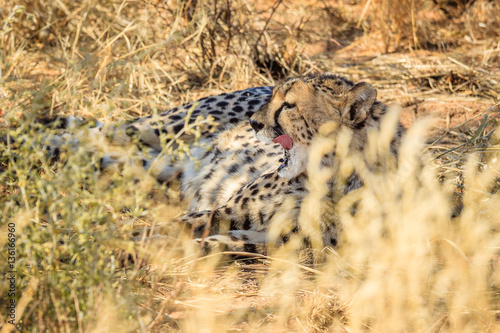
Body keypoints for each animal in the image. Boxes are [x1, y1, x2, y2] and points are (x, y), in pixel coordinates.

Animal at [42, 74, 402, 253]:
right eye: (275, 97)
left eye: (288, 105)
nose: (254, 123)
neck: (333, 174)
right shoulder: (230, 209)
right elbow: (169, 226)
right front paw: (83, 245)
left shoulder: (278, 238)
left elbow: (212, 242)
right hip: (168, 126)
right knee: (90, 131)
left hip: (153, 166)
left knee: (93, 151)